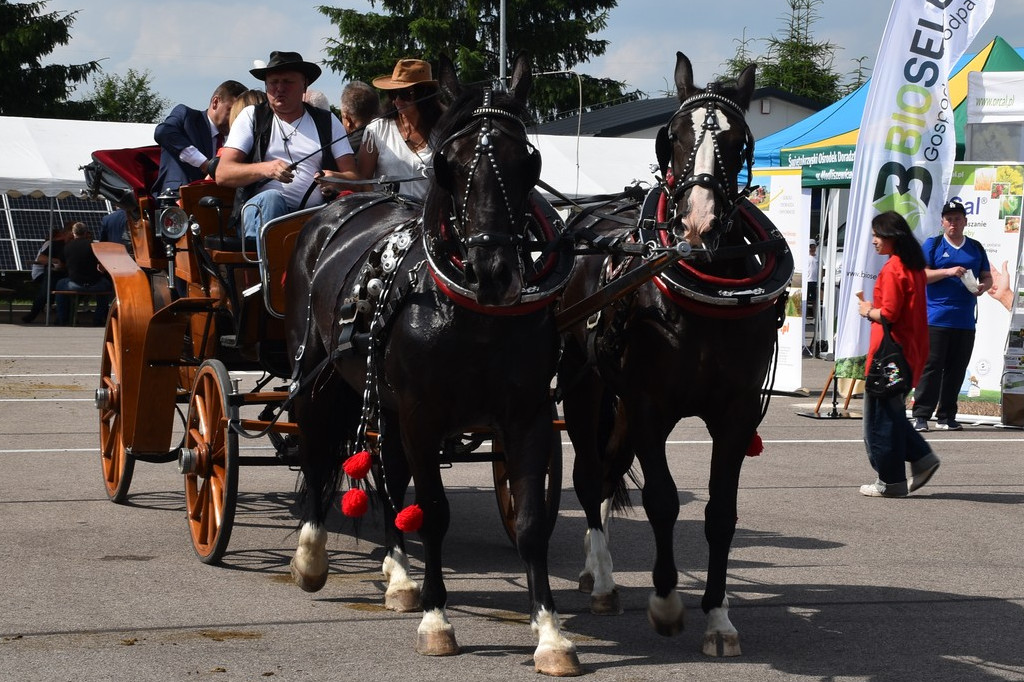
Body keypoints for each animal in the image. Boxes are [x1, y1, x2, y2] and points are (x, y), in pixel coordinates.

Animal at [284, 54, 581, 675]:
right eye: (450, 164)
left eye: (529, 161)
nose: (495, 271)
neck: (472, 314)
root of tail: (339, 207)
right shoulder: (423, 416)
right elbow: (435, 512)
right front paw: (438, 621)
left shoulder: (528, 417)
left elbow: (529, 522)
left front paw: (550, 634)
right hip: (315, 374)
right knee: (318, 452)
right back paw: (311, 556)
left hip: (384, 401)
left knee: (390, 475)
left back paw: (400, 577)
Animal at [561, 53, 790, 655]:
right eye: (676, 135)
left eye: (737, 140)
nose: (698, 223)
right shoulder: (649, 406)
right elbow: (663, 501)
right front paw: (665, 603)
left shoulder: (735, 412)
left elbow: (721, 512)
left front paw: (719, 618)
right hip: (583, 387)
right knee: (589, 476)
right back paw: (604, 580)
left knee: (609, 470)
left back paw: (594, 567)